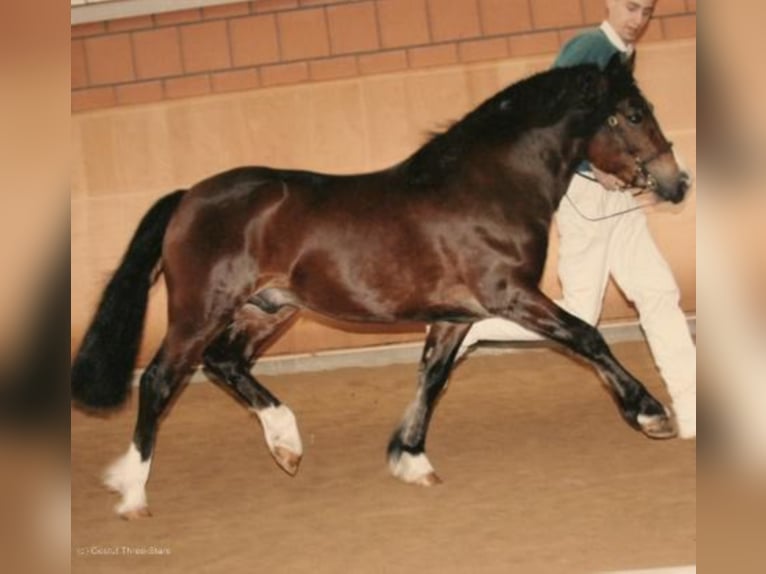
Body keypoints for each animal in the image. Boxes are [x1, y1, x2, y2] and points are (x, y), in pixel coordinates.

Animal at [72, 54, 690, 519]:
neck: (488, 185)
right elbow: (587, 336)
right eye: (633, 113)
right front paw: (651, 413)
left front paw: (410, 458)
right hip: (201, 310)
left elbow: (433, 379)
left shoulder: (456, 317)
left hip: (268, 308)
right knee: (160, 378)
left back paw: (286, 444)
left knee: (225, 363)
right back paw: (132, 492)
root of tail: (189, 198)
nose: (676, 182)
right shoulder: (510, 295)